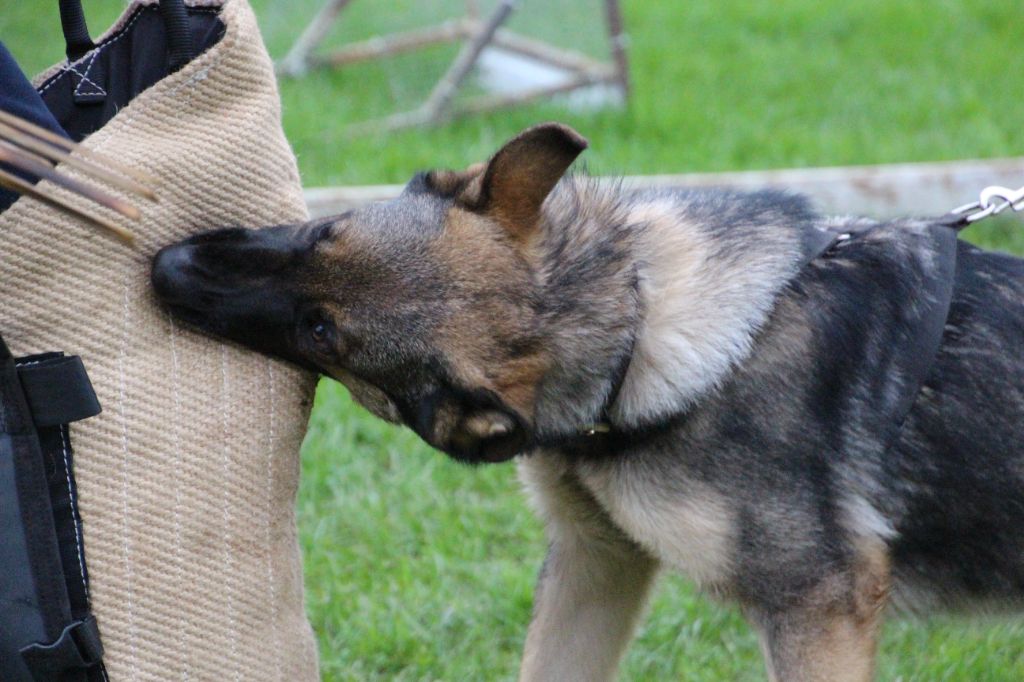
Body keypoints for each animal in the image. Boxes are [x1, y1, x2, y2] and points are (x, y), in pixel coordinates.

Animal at [149, 123, 1024, 679]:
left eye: (322, 330)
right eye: (323, 231)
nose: (165, 266)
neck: (641, 333)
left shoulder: (817, 609)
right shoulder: (594, 566)